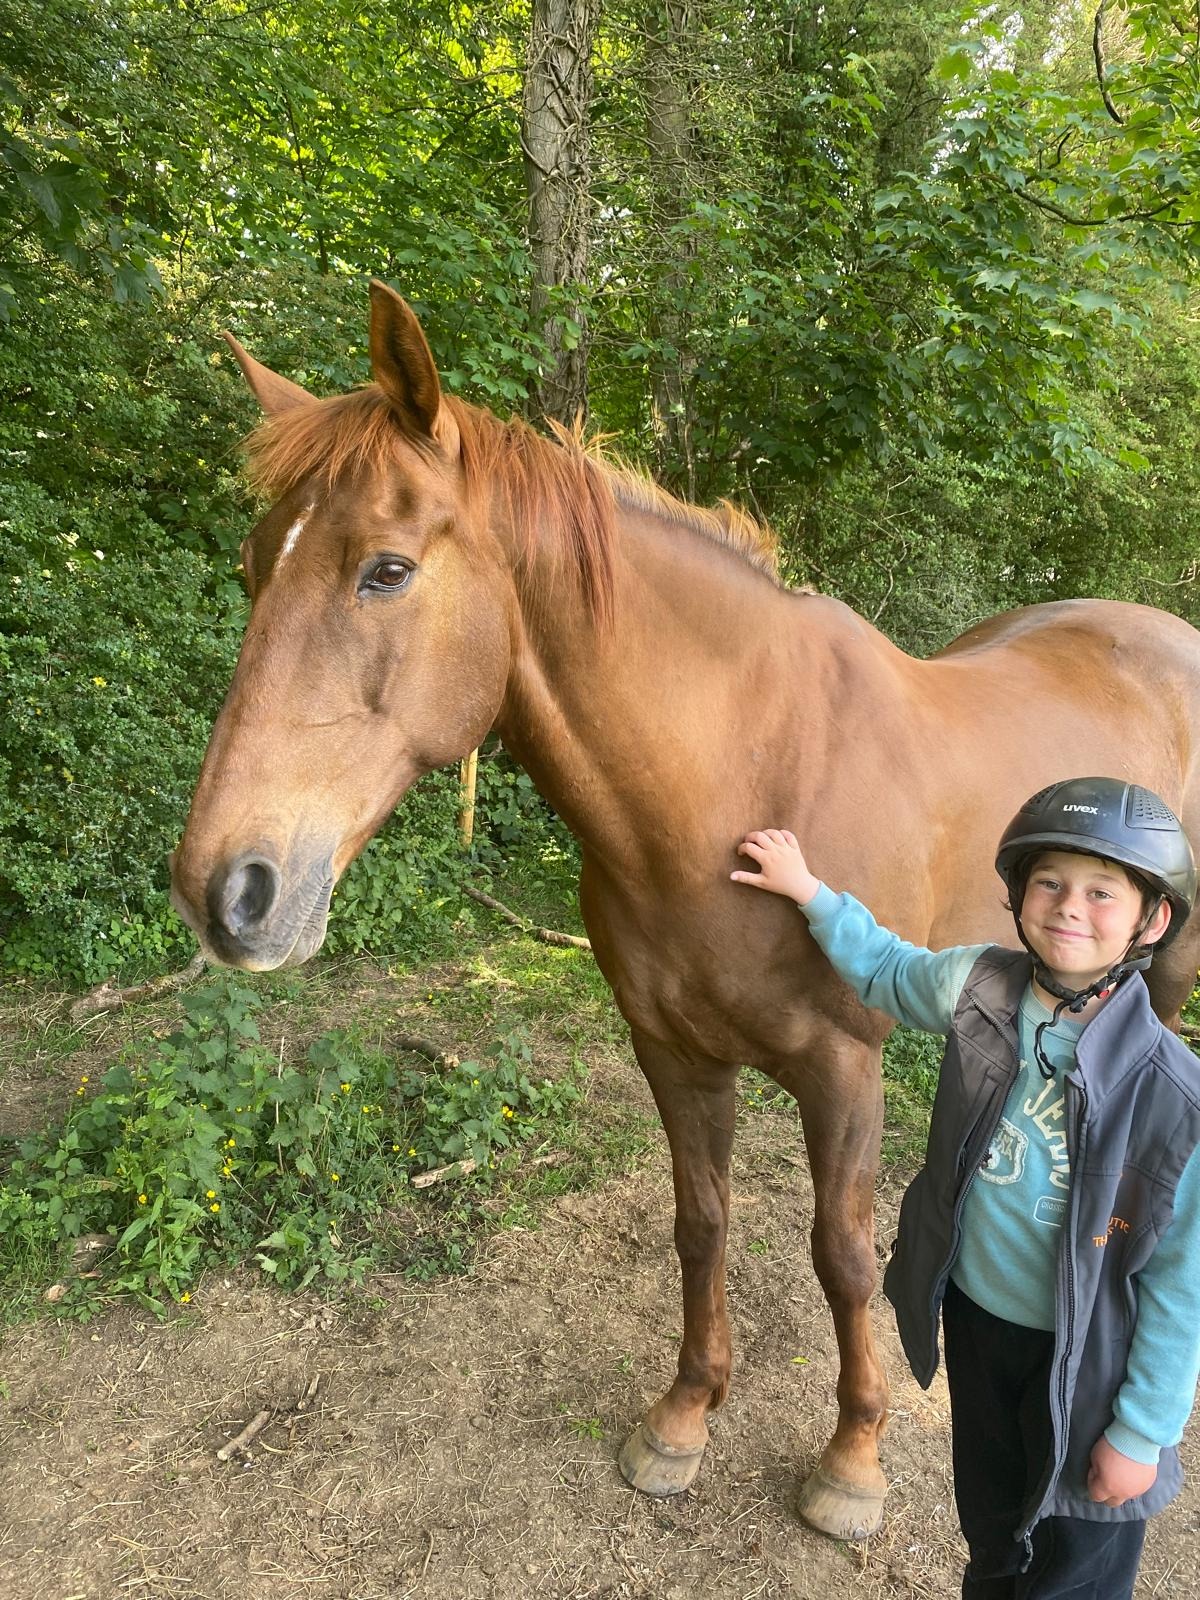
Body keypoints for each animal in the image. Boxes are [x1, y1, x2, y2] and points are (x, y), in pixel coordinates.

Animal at [171, 280, 1200, 1541]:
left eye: (386, 570)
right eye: (252, 566)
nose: (226, 889)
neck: (733, 784)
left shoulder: (842, 1064)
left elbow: (841, 1253)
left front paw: (853, 1460)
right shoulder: (672, 1048)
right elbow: (700, 1223)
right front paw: (683, 1416)